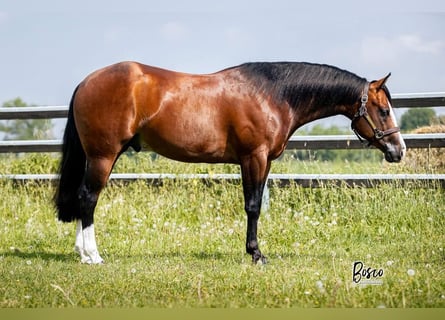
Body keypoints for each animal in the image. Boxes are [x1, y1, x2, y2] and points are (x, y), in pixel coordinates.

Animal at [53, 61, 404, 264]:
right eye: (384, 110)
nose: (398, 150)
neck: (273, 94)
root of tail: (86, 82)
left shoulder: (262, 161)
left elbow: (256, 203)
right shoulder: (253, 157)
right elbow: (252, 206)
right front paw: (256, 254)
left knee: (85, 199)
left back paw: (82, 252)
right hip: (102, 155)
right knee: (88, 198)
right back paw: (92, 256)